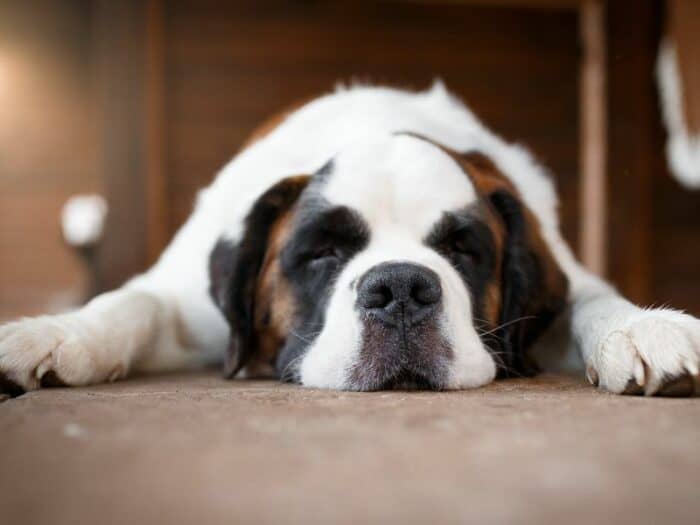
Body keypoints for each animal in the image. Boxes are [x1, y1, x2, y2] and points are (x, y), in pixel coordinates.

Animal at [1, 82, 700, 396]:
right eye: (323, 252)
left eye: (463, 249)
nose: (401, 288)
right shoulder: (180, 298)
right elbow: (134, 302)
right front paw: (52, 334)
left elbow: (593, 300)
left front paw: (645, 329)